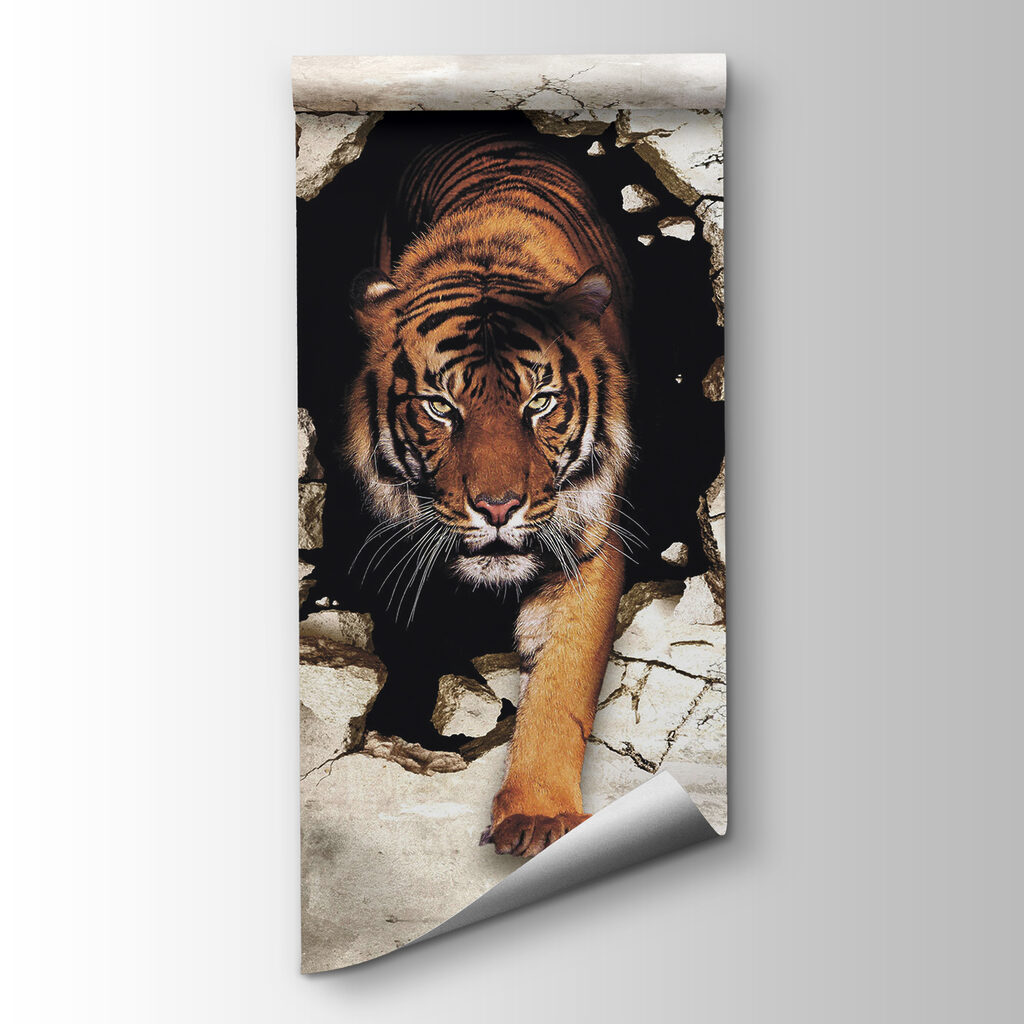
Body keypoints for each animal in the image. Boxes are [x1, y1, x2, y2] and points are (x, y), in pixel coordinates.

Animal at [346, 131, 634, 858]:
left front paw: (538, 815)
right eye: (441, 408)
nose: (499, 507)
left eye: (540, 403)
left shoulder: (588, 546)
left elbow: (562, 685)